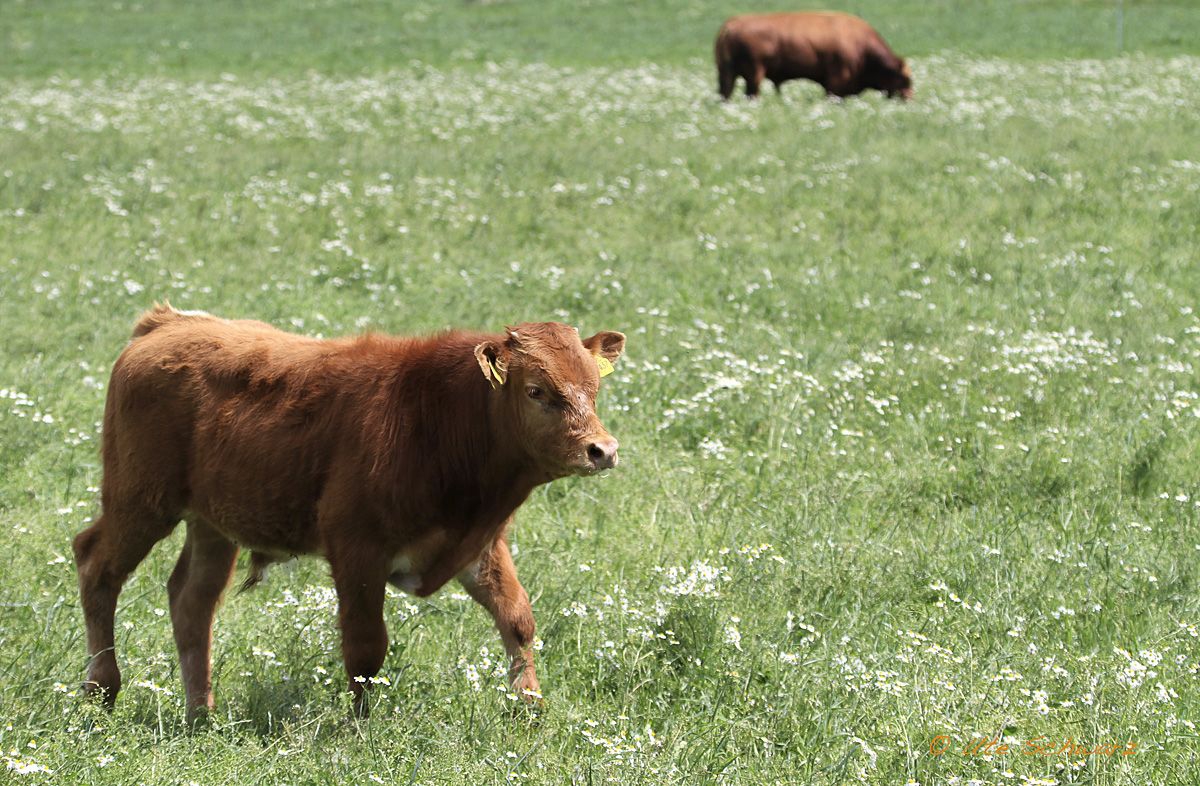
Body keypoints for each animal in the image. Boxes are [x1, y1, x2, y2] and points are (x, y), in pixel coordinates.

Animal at [72, 306, 628, 720]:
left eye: (593, 389)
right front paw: (359, 730)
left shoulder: (481, 543)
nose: (602, 450)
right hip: (139, 501)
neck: (435, 417)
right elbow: (365, 646)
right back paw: (103, 689)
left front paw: (530, 708)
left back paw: (201, 714)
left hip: (212, 524)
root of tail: (167, 324)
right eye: (537, 390)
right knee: (96, 566)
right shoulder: (358, 549)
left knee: (192, 601)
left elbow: (517, 619)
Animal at [715, 11, 912, 100]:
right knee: (750, 93)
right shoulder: (836, 82)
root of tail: (732, 24)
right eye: (906, 80)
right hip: (754, 75)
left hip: (728, 74)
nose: (909, 98)